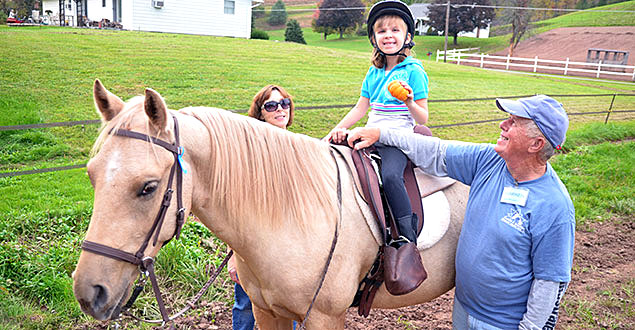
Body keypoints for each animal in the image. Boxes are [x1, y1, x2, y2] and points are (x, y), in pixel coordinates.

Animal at [74, 80, 470, 330]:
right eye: (92, 176)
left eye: (148, 187)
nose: (89, 292)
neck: (293, 215)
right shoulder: (266, 311)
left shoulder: (325, 317)